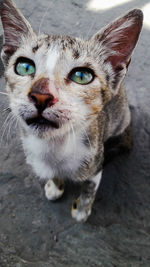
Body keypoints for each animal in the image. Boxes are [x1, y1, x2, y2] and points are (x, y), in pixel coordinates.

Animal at [0, 0, 143, 222]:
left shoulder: (95, 164)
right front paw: (55, 185)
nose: (41, 95)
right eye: (24, 67)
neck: (54, 148)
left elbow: (89, 188)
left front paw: (82, 210)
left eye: (82, 76)